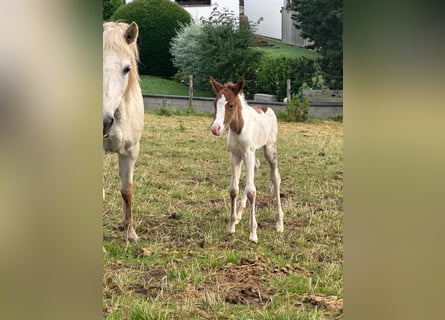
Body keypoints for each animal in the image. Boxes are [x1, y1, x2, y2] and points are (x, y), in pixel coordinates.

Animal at [209, 77, 284, 242]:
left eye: (231, 105)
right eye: (215, 104)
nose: (215, 128)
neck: (238, 128)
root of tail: (267, 108)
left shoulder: (248, 153)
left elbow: (251, 191)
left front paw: (253, 234)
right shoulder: (235, 156)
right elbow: (233, 189)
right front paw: (231, 226)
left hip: (269, 149)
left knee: (275, 178)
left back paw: (279, 223)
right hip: (248, 155)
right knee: (256, 166)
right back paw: (239, 214)